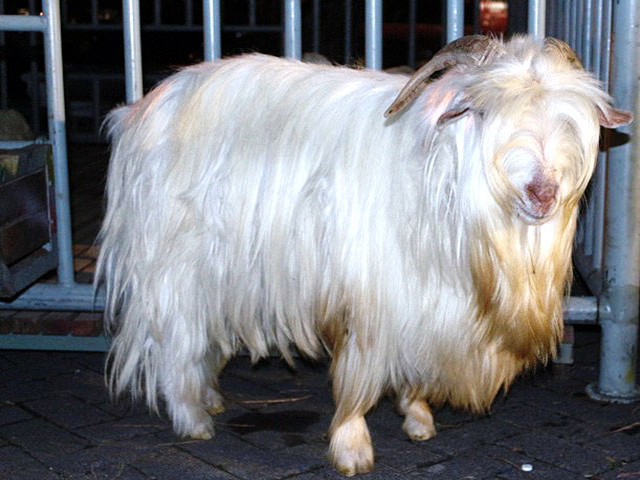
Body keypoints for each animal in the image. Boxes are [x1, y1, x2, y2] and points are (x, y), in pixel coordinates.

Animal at [96, 35, 632, 476]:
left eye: (568, 120)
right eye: (479, 111)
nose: (542, 192)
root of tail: (143, 109)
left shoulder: (428, 301)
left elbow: (417, 362)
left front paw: (417, 417)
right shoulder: (371, 296)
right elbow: (359, 374)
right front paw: (352, 448)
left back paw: (208, 399)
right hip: (174, 264)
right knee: (174, 340)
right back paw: (191, 418)